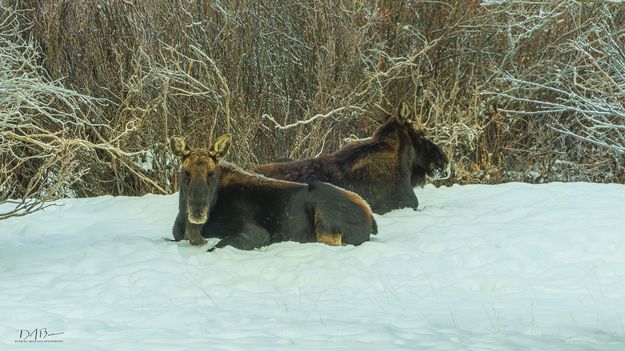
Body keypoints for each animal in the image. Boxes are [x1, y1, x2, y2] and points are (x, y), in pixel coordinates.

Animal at [169, 133, 376, 252]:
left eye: (211, 173)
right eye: (185, 172)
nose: (197, 211)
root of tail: (371, 217)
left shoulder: (258, 234)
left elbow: (217, 246)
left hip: (326, 220)